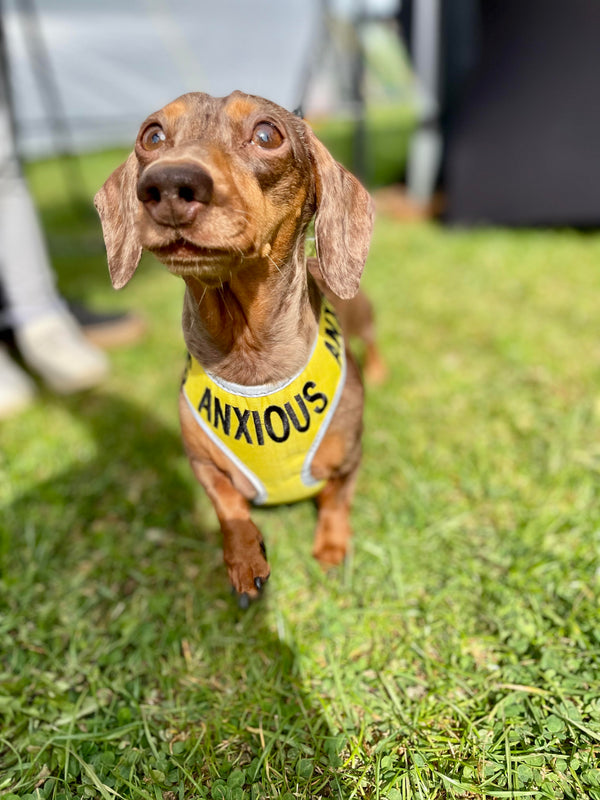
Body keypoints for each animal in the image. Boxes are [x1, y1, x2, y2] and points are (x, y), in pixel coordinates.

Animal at [96, 90, 378, 604]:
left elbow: (335, 501)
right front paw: (246, 559)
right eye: (152, 135)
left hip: (365, 317)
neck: (249, 354)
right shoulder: (202, 464)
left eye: (267, 134)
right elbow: (228, 504)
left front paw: (331, 548)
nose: (168, 183)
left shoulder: (349, 461)